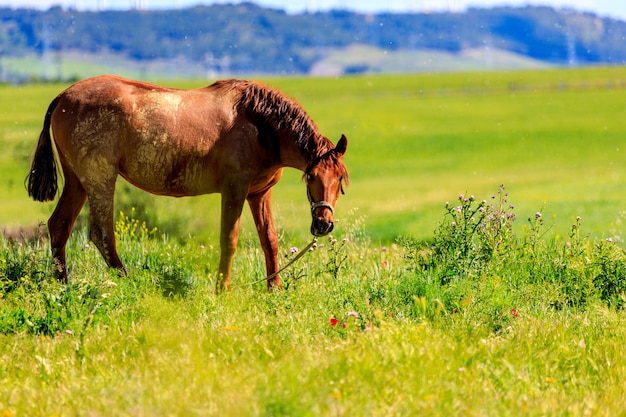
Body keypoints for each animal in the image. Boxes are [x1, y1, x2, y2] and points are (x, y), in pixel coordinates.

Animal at [25, 74, 346, 290]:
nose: (323, 224)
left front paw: (274, 290)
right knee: (102, 235)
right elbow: (229, 240)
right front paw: (222, 289)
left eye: (340, 181)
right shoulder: (235, 190)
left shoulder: (259, 194)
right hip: (99, 179)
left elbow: (270, 241)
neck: (259, 125)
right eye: (311, 177)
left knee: (60, 225)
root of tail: (63, 96)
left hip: (77, 182)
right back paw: (129, 284)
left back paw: (63, 285)